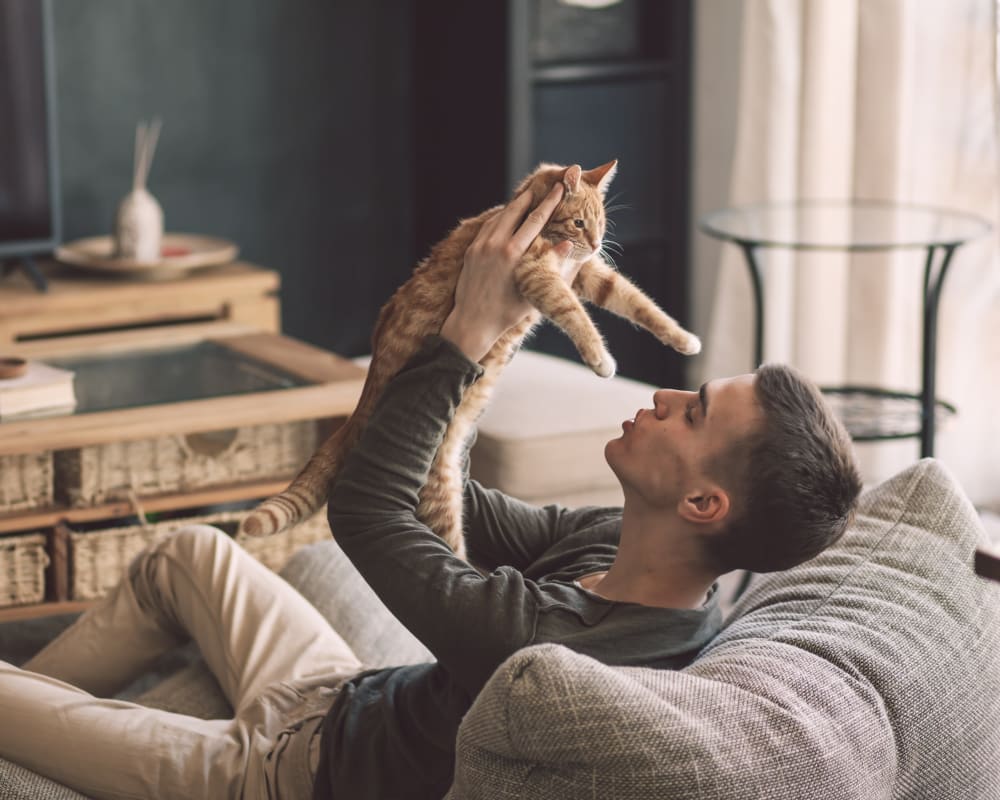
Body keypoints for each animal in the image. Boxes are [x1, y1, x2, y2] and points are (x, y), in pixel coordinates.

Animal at [238, 162, 700, 560]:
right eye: (579, 223)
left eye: (600, 223)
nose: (596, 244)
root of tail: (359, 409)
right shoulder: (537, 273)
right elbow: (576, 316)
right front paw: (601, 358)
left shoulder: (586, 273)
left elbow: (637, 302)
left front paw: (684, 339)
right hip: (439, 495)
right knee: (451, 555)